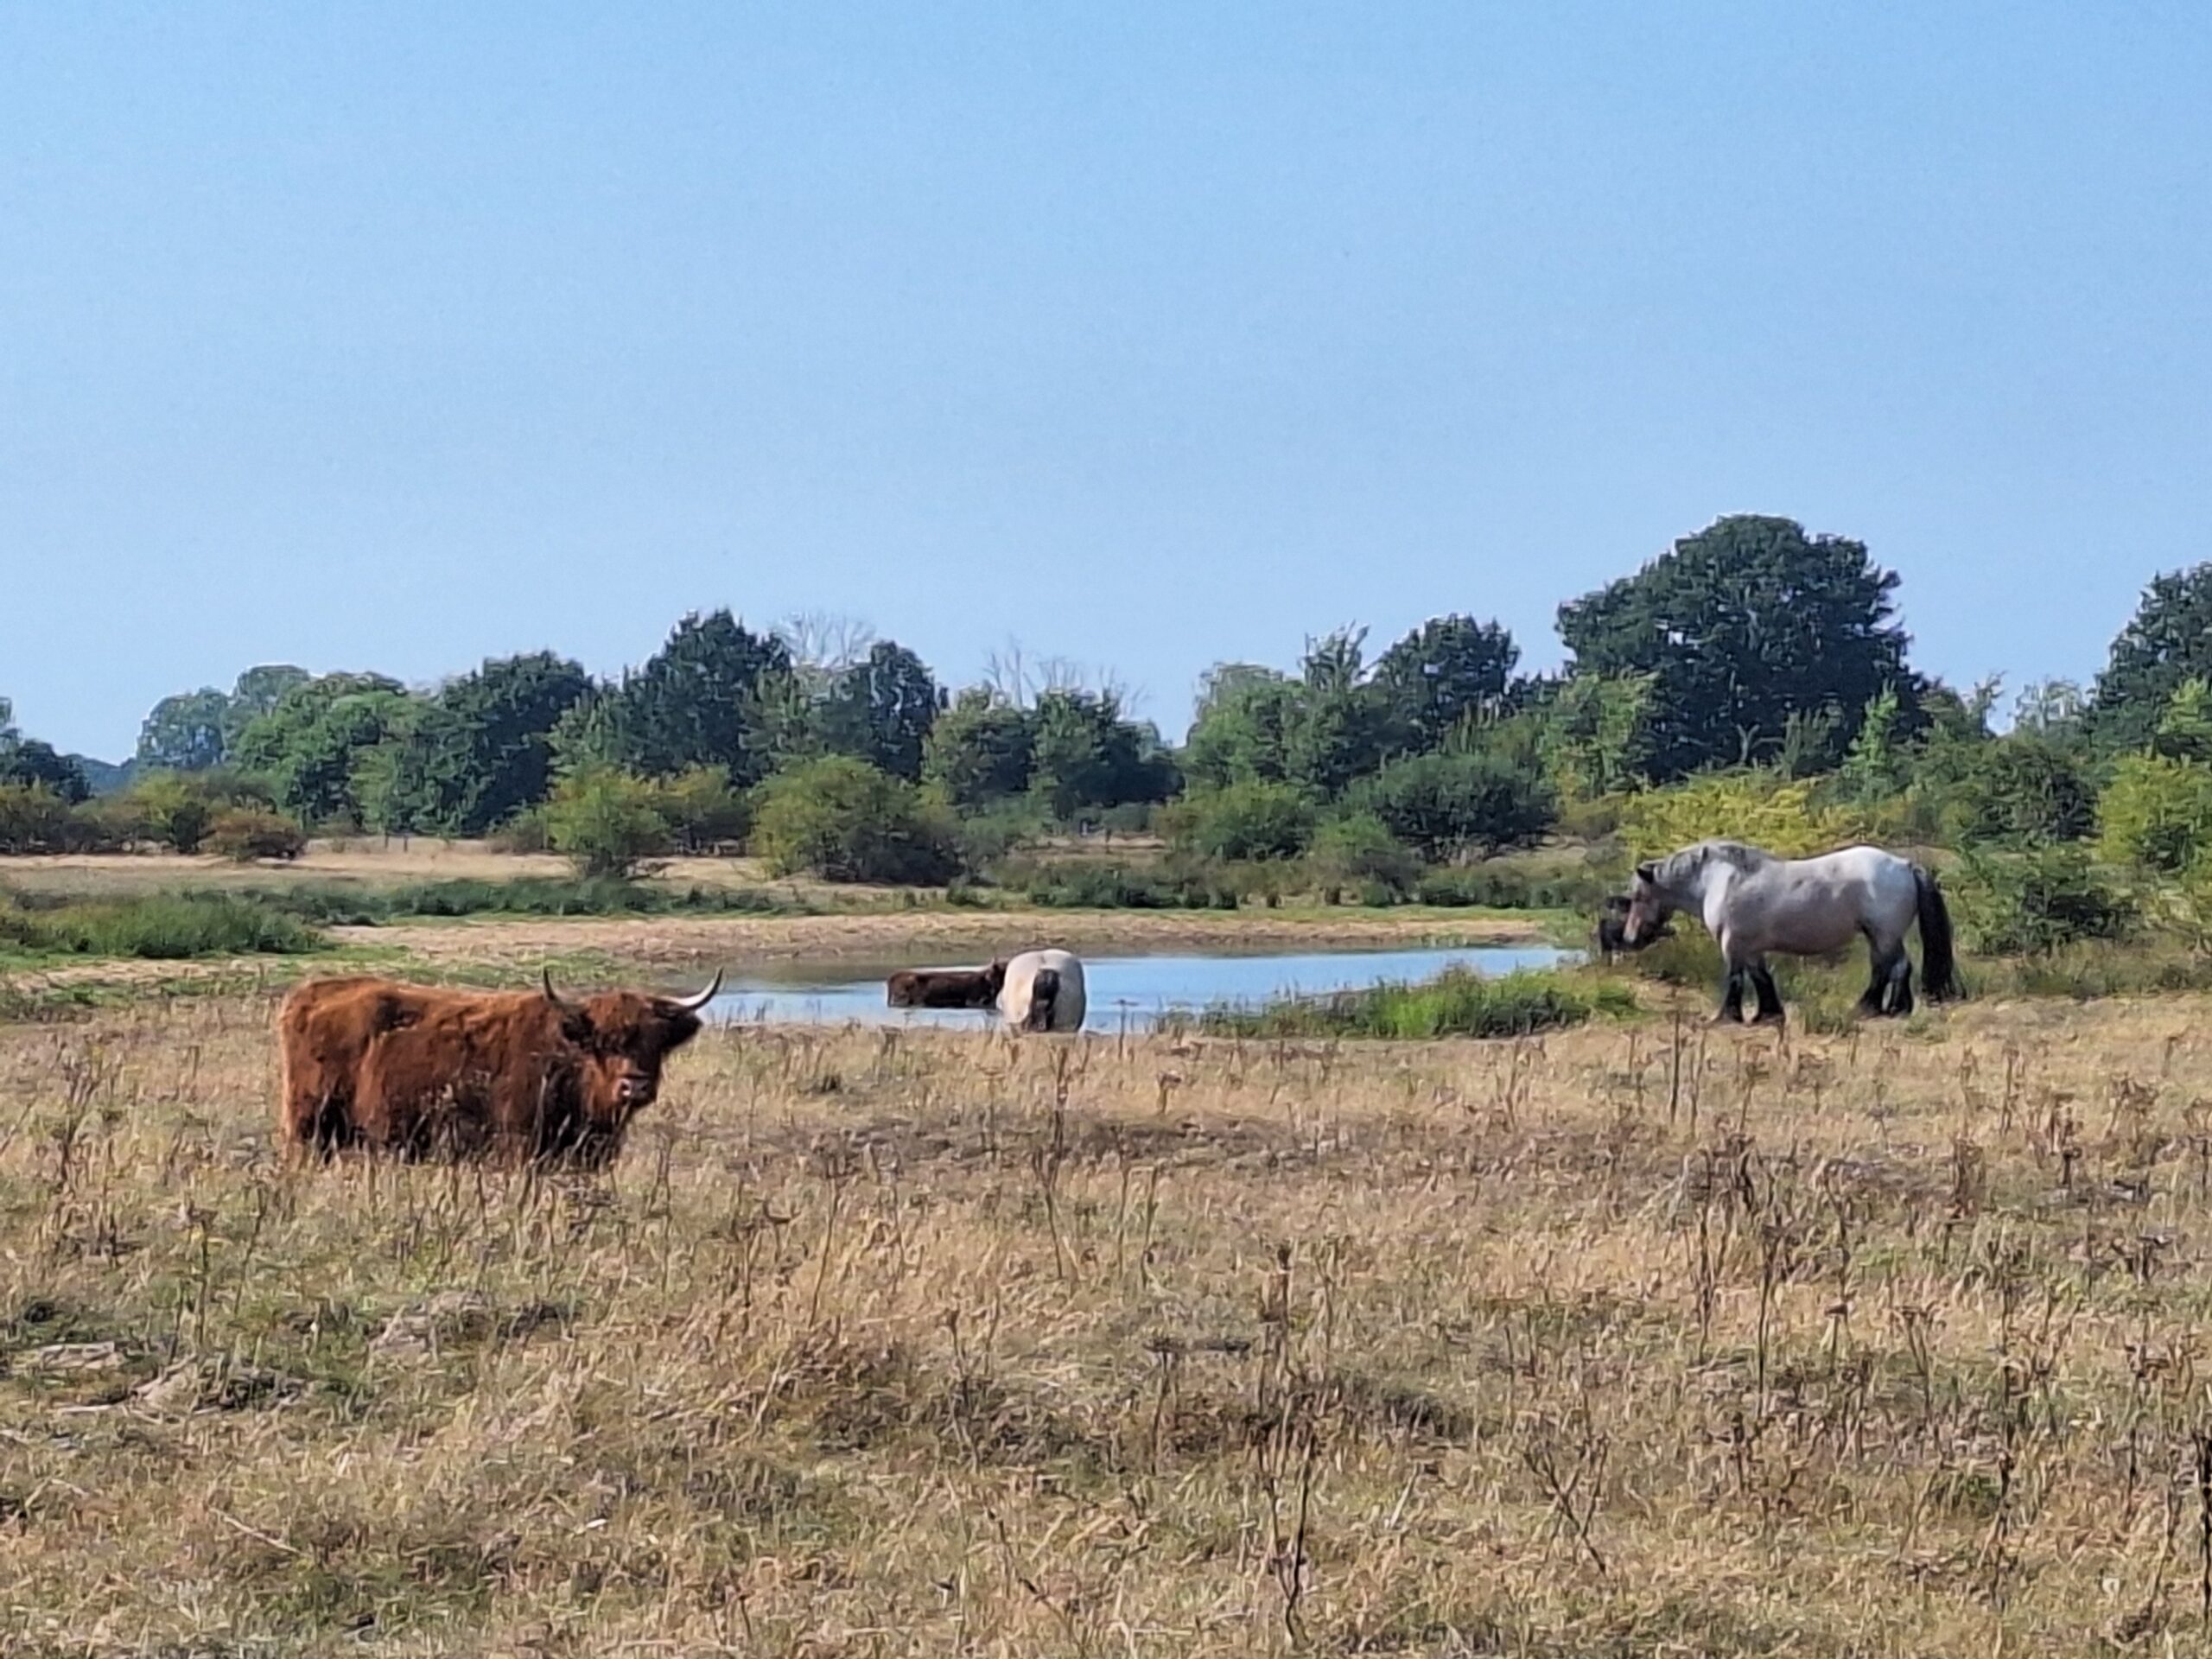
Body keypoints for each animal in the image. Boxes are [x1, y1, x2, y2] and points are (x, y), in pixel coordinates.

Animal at [1622, 840, 1961, 1024]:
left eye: (1638, 897)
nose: (1629, 938)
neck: (1718, 879)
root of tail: (1904, 864)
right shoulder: (1750, 948)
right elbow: (1761, 978)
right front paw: (1768, 1016)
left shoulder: (1732, 944)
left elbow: (1735, 979)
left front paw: (1725, 1017)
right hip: (1876, 935)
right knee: (1885, 968)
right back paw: (1875, 1008)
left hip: (1884, 934)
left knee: (1896, 967)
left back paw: (1890, 1009)